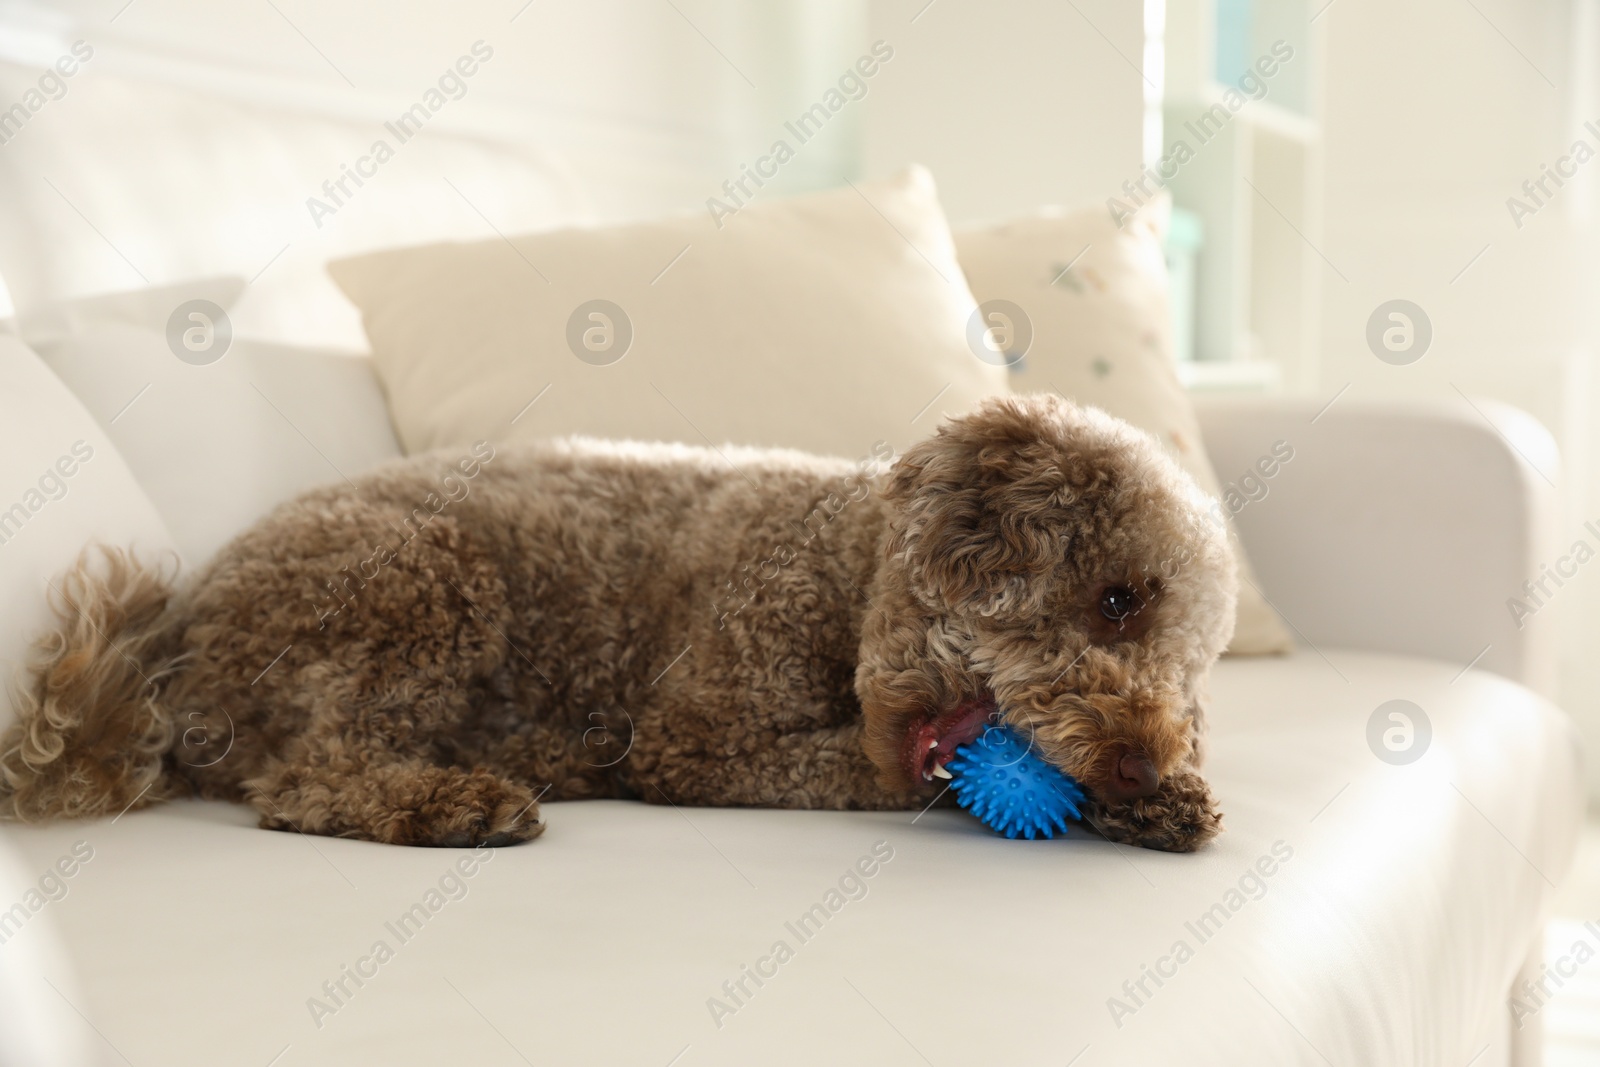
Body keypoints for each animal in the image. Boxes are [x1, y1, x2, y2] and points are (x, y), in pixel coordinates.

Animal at [0, 391, 1235, 851]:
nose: (1139, 758)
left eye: (1193, 678)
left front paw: (1164, 801)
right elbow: (868, 771)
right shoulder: (698, 735)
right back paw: (454, 801)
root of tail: (179, 642)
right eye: (1118, 597)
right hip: (425, 575)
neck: (836, 559)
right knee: (306, 776)